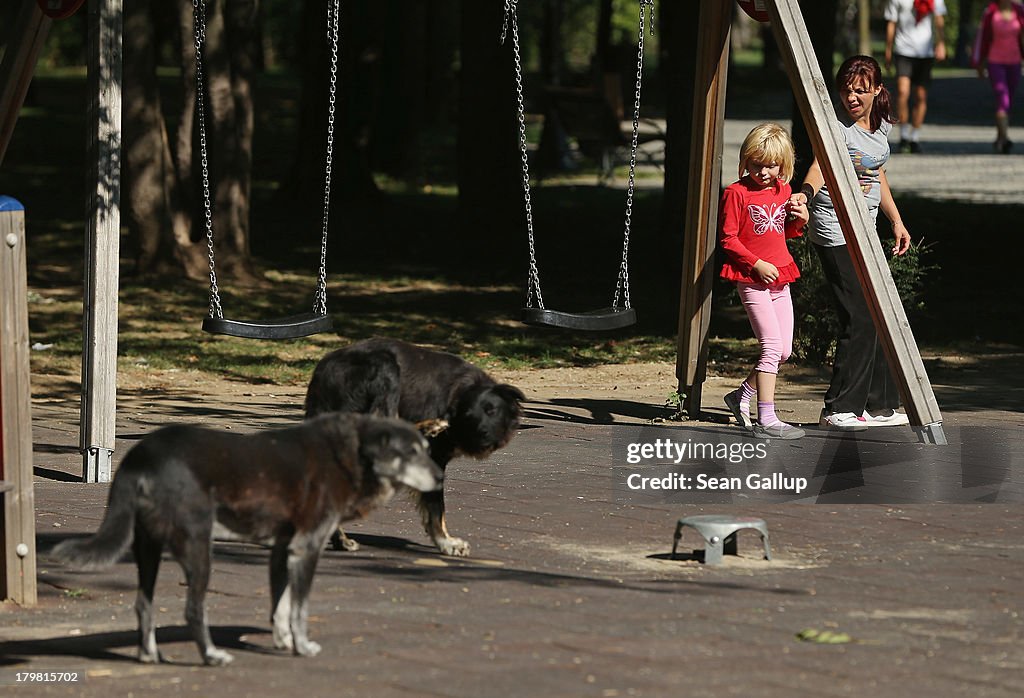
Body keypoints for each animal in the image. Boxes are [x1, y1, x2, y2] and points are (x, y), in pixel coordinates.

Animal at [52, 413, 440, 663]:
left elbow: (280, 606)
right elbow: (299, 608)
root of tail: (142, 456)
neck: (351, 452)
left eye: (426, 447)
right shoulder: (307, 548)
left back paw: (149, 656)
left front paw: (282, 641)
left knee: (143, 605)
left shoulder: (282, 551)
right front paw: (302, 647)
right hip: (198, 549)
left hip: (148, 550)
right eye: (411, 452)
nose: (439, 478)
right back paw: (210, 655)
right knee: (193, 609)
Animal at [303, 337, 524, 552]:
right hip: (386, 367)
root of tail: (321, 375)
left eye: (491, 410)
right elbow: (436, 507)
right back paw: (426, 428)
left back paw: (340, 540)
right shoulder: (435, 458)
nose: (482, 433)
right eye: (469, 418)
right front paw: (446, 542)